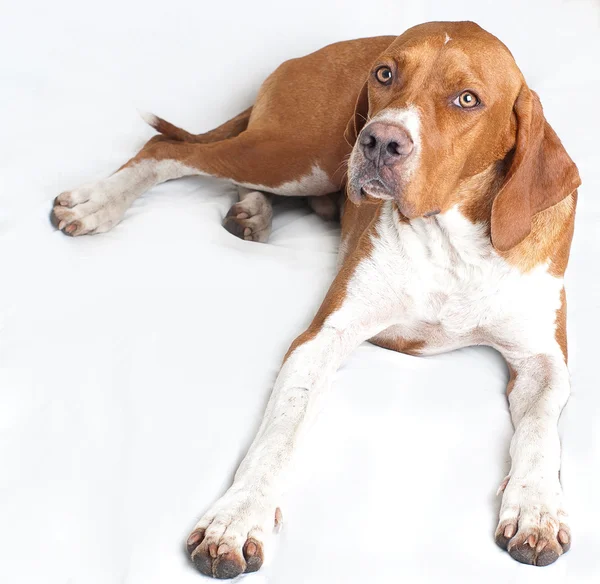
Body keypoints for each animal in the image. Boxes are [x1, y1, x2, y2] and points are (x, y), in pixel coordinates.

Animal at [52, 20, 580, 576]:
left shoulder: (544, 363)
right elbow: (281, 431)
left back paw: (251, 211)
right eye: (385, 74)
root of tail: (313, 52)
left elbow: (541, 433)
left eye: (467, 99)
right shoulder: (324, 337)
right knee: (165, 149)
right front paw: (238, 518)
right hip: (295, 157)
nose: (380, 140)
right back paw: (99, 202)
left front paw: (538, 509)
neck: (451, 242)